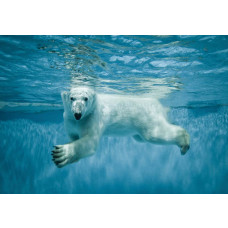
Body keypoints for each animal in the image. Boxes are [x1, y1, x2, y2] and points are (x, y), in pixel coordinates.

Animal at [51, 86, 189, 168]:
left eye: (85, 98)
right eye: (71, 98)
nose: (78, 114)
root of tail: (158, 104)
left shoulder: (92, 117)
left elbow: (90, 141)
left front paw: (61, 153)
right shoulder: (69, 120)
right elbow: (73, 136)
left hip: (146, 117)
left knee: (154, 134)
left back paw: (184, 141)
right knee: (140, 138)